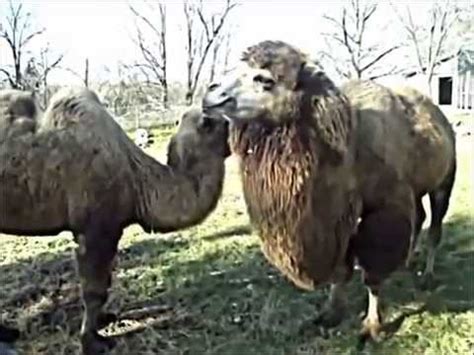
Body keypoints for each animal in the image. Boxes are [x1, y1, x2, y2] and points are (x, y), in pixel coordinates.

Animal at [0, 87, 230, 355]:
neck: (138, 180)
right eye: (216, 122)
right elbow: (94, 289)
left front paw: (104, 320)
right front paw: (92, 341)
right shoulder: (96, 227)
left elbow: (104, 283)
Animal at [203, 40, 456, 344]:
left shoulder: (384, 206)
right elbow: (341, 269)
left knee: (435, 226)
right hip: (416, 189)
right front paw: (331, 313)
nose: (210, 94)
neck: (345, 149)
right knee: (419, 217)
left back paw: (427, 275)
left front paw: (371, 327)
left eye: (265, 80)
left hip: (444, 181)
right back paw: (406, 262)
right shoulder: (337, 214)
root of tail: (442, 119)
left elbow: (372, 271)